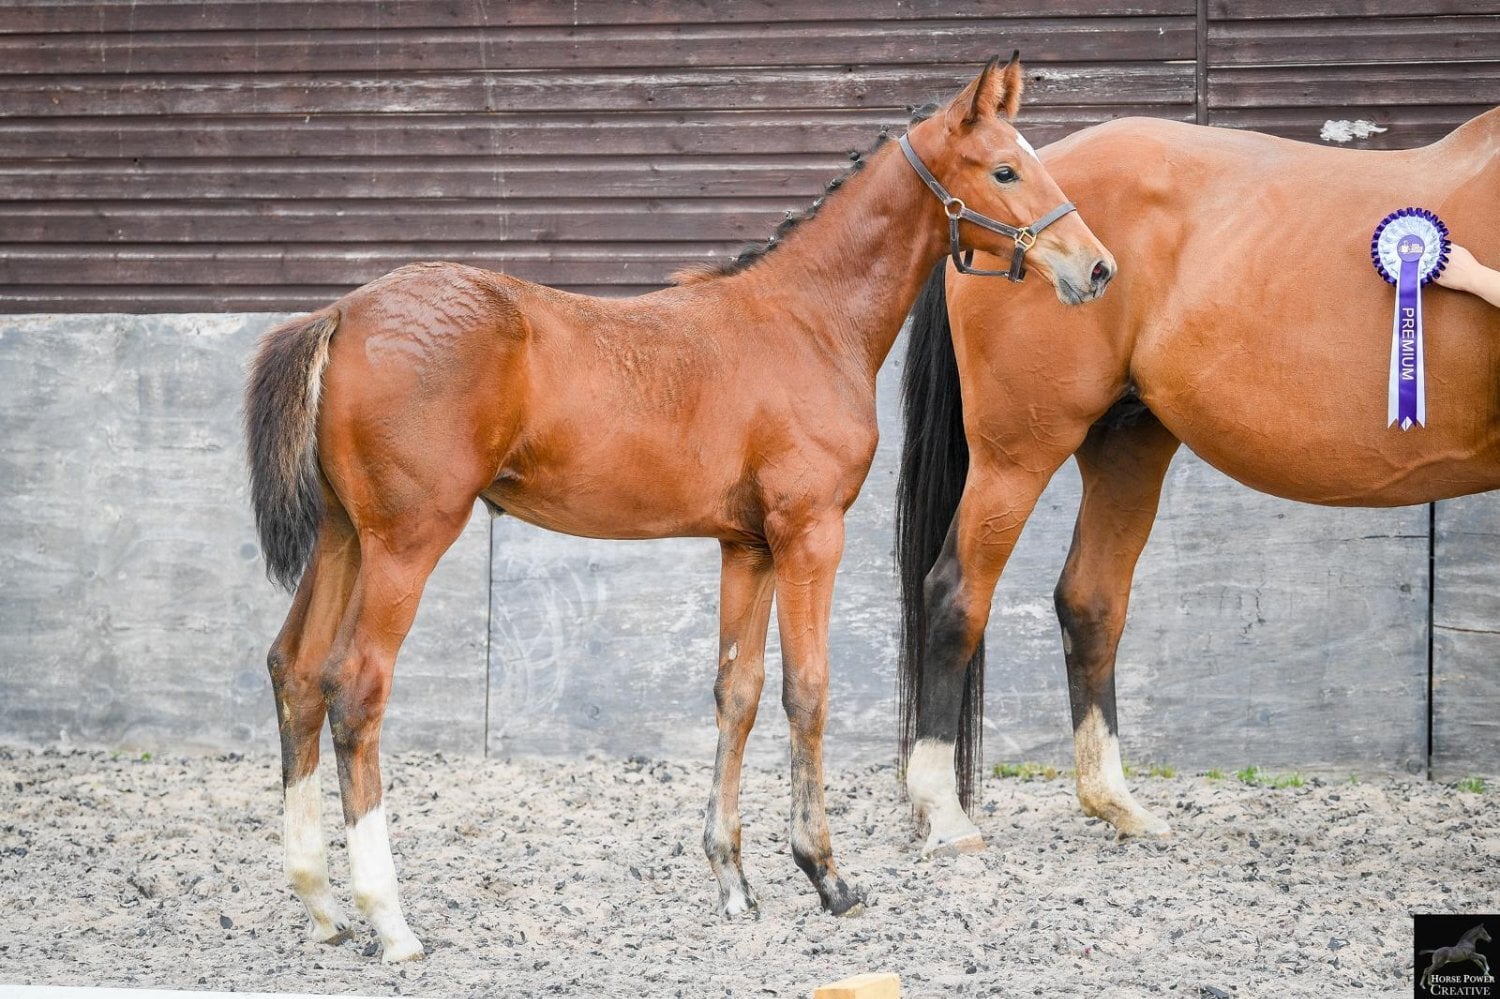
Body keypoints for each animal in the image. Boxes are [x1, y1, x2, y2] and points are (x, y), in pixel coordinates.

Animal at [245, 55, 1114, 961]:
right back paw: (389, 916)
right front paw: (826, 874)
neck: (808, 320)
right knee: (356, 688)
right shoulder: (810, 532)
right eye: (1005, 169)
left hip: (344, 538)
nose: (1096, 269)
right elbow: (809, 689)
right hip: (405, 543)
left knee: (296, 670)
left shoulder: (748, 546)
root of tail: (340, 313)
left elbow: (739, 690)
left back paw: (322, 902)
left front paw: (733, 880)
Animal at [893, 108, 1500, 857]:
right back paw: (945, 814)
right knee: (957, 595)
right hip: (1016, 455)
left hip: (1127, 443)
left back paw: (1118, 805)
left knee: (1090, 602)